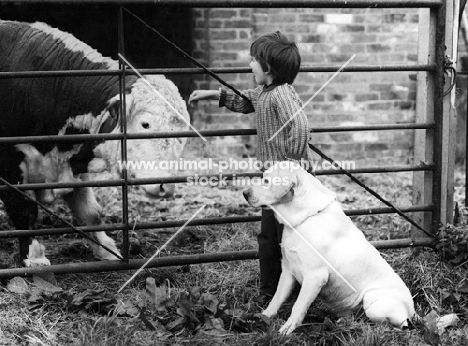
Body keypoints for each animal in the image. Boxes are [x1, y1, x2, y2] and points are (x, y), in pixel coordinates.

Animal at [0, 20, 190, 266]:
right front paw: (34, 258)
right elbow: (24, 210)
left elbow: (91, 212)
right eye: (145, 124)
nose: (166, 186)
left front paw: (107, 250)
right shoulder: (9, 164)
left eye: (182, 134)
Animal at [243, 162, 414, 336]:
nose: (244, 193)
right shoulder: (288, 270)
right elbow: (276, 299)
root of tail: (412, 311)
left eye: (266, 181)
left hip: (373, 302)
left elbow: (298, 306)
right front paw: (263, 317)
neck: (305, 219)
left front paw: (287, 329)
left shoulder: (315, 277)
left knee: (396, 325)